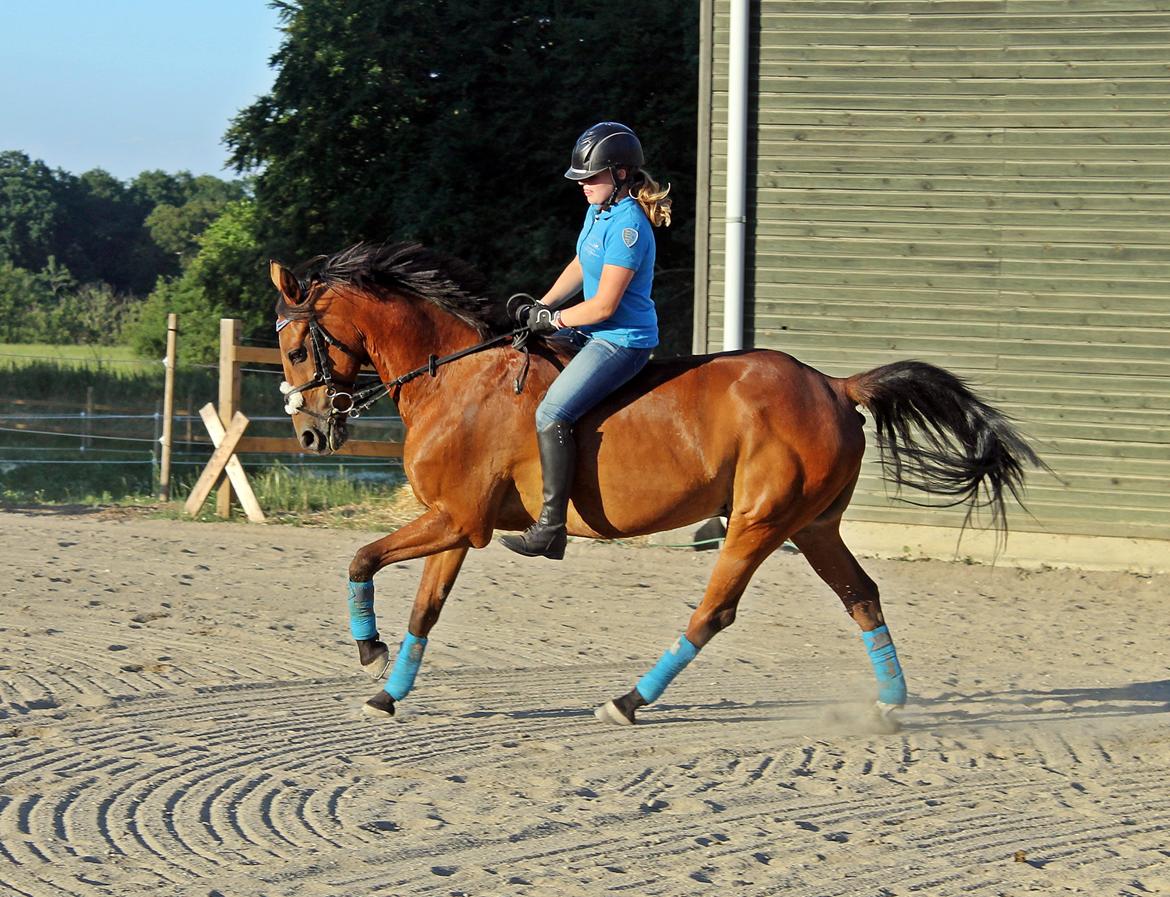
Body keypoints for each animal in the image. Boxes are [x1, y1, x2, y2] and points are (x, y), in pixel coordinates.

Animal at [267, 243, 1043, 729]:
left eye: (297, 347)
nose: (309, 434)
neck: (454, 375)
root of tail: (831, 383)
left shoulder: (457, 519)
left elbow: (361, 558)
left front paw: (368, 653)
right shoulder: (455, 524)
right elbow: (424, 610)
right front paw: (387, 693)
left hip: (759, 523)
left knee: (714, 613)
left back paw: (628, 700)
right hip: (812, 526)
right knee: (862, 596)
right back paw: (888, 705)